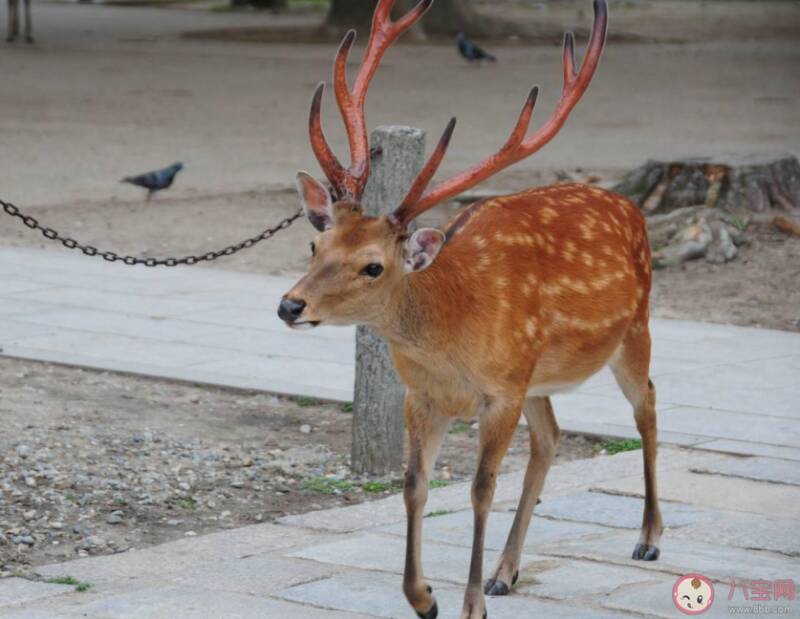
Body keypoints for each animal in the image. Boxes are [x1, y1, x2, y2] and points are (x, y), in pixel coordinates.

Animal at [280, 2, 664, 616]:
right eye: (315, 245)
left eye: (373, 266)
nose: (290, 305)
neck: (450, 333)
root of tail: (628, 205)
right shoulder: (423, 395)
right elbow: (414, 484)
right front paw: (424, 597)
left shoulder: (499, 392)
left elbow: (480, 489)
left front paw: (468, 603)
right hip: (537, 376)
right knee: (551, 437)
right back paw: (507, 571)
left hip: (635, 327)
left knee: (646, 402)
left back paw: (648, 538)